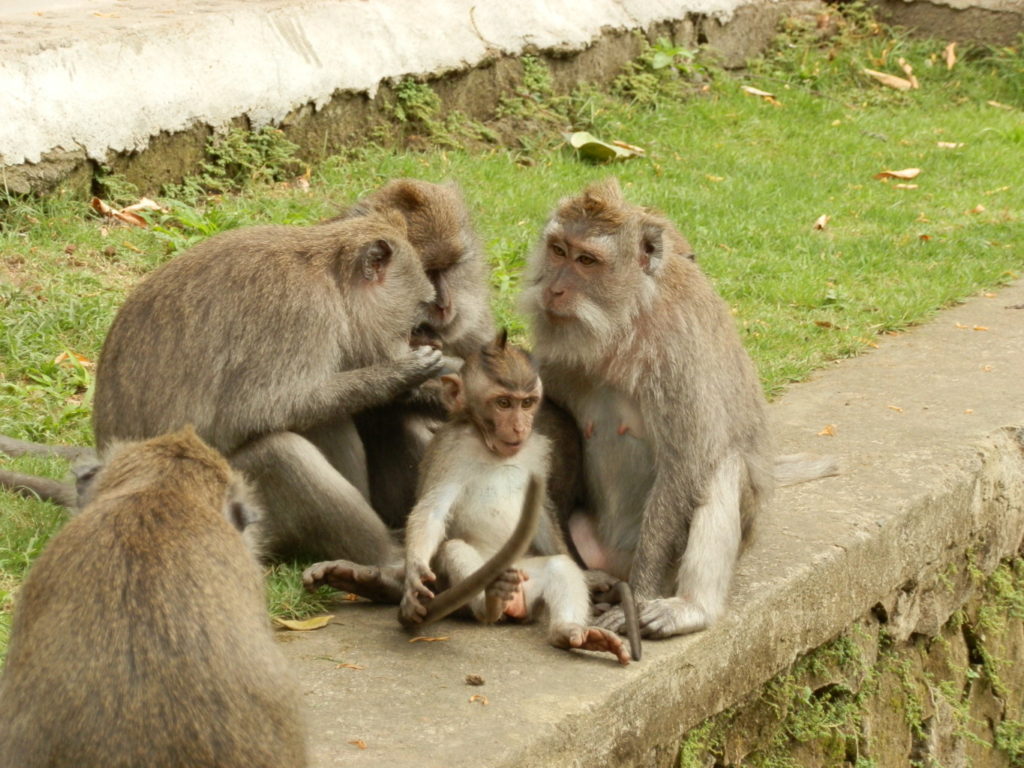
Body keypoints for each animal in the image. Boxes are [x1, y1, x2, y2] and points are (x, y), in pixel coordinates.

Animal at [96, 204, 444, 565]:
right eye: (418, 311)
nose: (418, 338)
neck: (332, 281)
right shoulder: (302, 316)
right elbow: (253, 411)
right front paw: (400, 375)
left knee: (325, 419)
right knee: (282, 452)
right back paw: (388, 556)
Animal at [395, 333, 634, 663]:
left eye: (528, 402)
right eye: (504, 403)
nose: (520, 426)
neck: (491, 448)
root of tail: (519, 605)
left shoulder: (539, 449)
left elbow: (543, 515)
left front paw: (590, 579)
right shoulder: (449, 449)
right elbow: (432, 510)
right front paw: (414, 577)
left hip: (526, 574)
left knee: (559, 566)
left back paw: (570, 631)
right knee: (454, 549)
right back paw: (491, 601)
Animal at [516, 177, 835, 638]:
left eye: (586, 260)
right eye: (558, 250)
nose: (553, 289)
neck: (625, 326)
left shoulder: (679, 354)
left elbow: (687, 465)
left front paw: (640, 600)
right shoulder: (558, 355)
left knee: (722, 466)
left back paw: (688, 608)